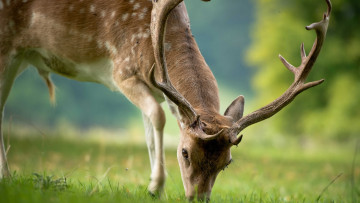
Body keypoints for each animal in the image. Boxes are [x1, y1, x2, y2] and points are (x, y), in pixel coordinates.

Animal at [0, 0, 332, 201]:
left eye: (227, 162)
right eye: (184, 153)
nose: (198, 198)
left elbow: (149, 127)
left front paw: (151, 186)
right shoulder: (122, 70)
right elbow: (157, 118)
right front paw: (157, 185)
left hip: (20, 56)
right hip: (6, 45)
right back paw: (7, 176)